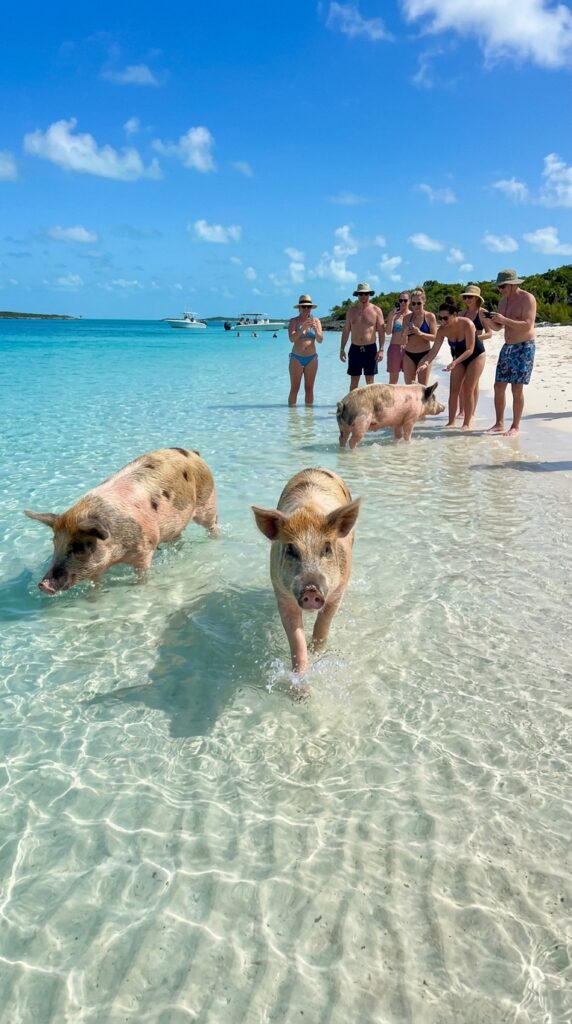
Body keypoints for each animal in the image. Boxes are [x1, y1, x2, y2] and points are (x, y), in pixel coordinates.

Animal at [24, 447, 219, 594]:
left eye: (78, 547)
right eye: (54, 544)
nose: (43, 585)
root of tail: (192, 453)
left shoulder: (145, 549)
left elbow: (142, 575)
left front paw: (140, 588)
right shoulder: (98, 567)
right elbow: (96, 584)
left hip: (207, 501)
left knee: (213, 524)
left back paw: (216, 540)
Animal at [252, 468, 361, 674]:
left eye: (327, 548)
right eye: (290, 549)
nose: (311, 589)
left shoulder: (337, 592)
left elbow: (322, 626)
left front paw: (318, 656)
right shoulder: (282, 595)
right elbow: (296, 638)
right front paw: (300, 680)